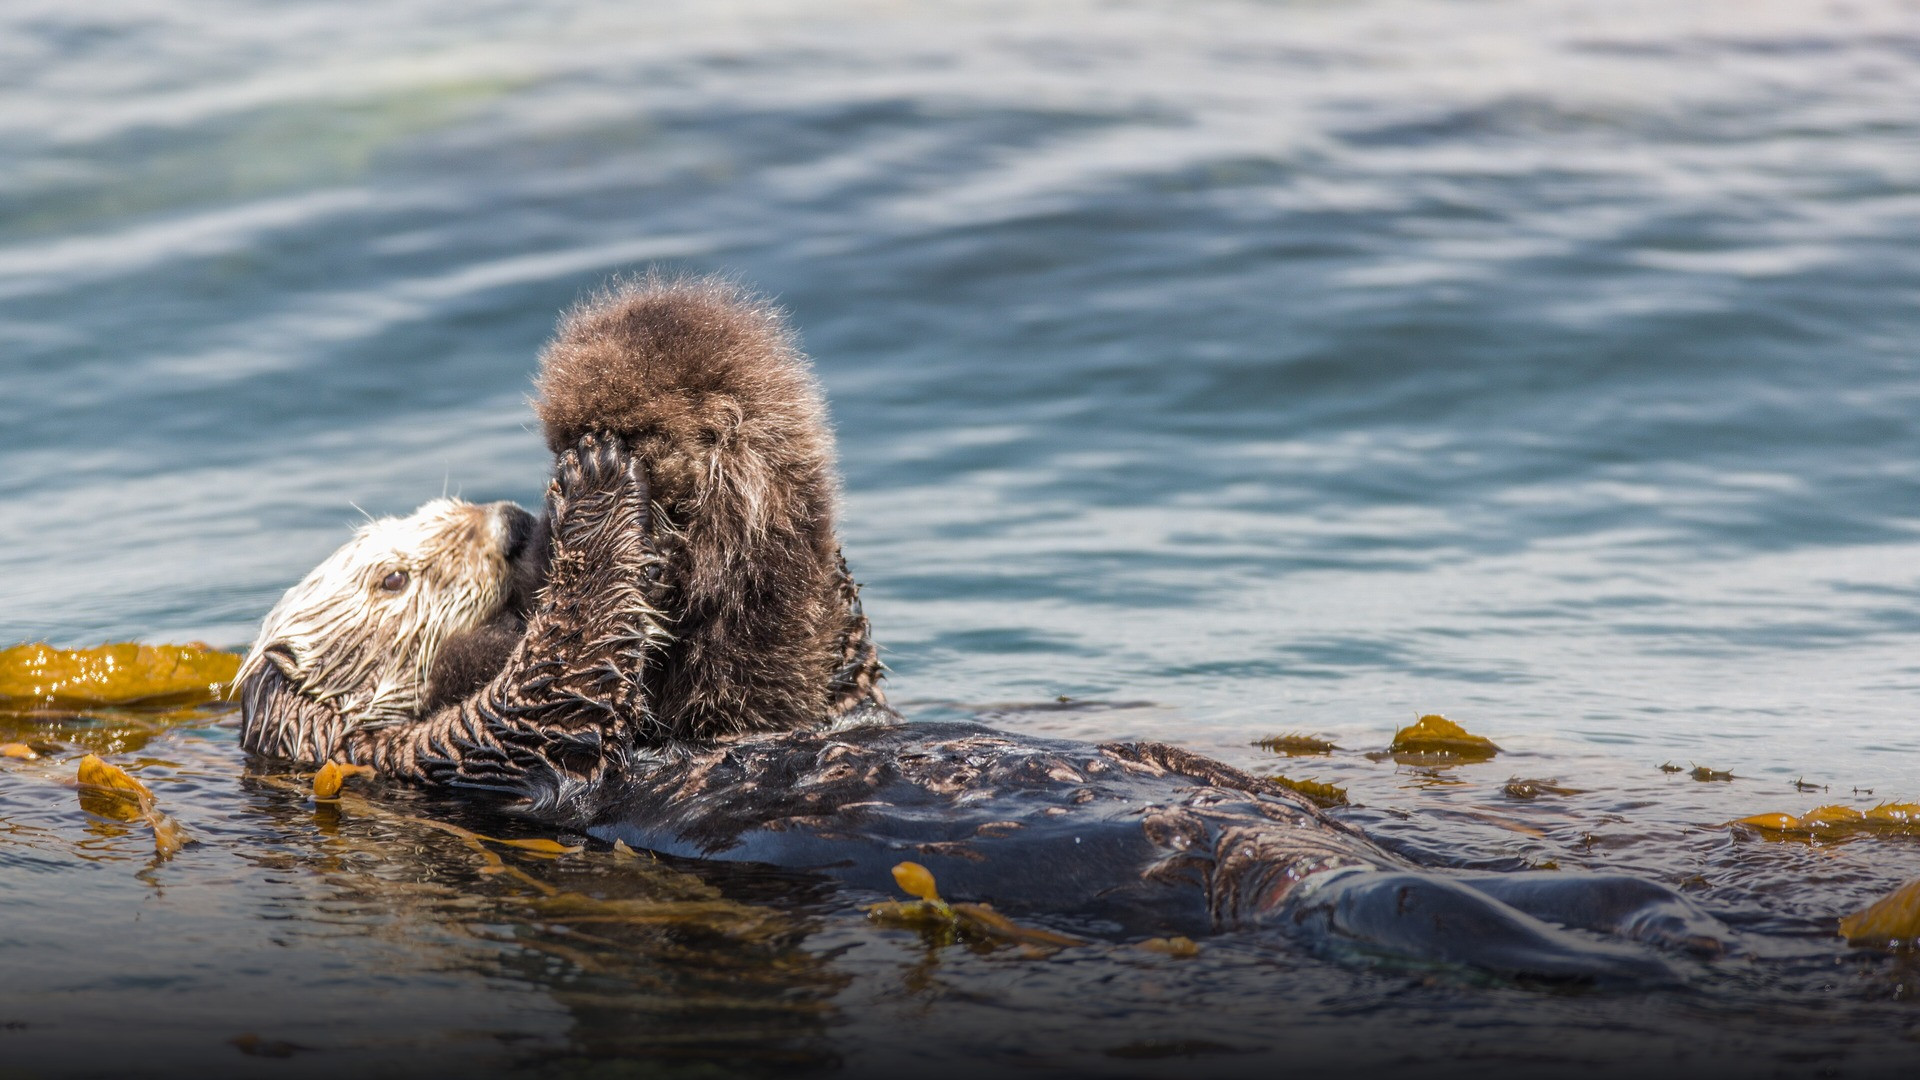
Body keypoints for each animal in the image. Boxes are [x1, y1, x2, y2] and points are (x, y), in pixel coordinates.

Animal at [239, 278, 1727, 980]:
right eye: (389, 579)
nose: (508, 522)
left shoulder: (757, 695)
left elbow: (795, 671)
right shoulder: (461, 756)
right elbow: (569, 672)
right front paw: (599, 481)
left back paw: (1645, 914)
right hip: (1251, 876)